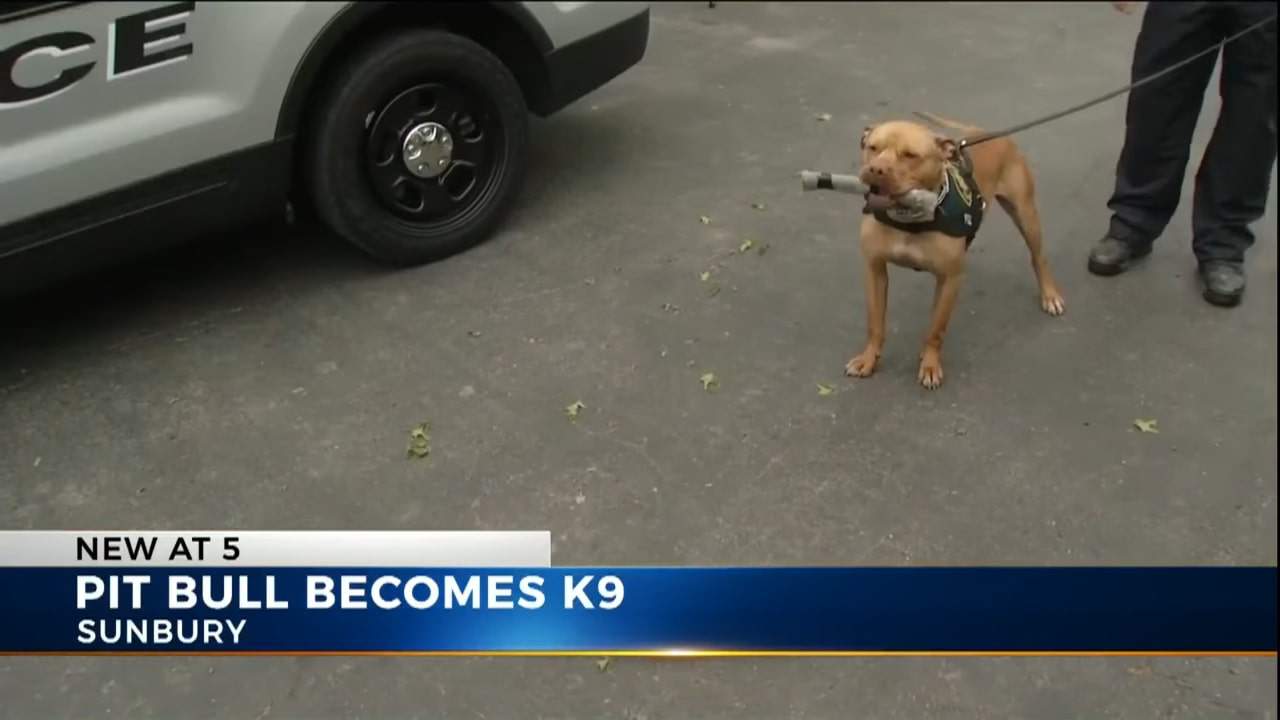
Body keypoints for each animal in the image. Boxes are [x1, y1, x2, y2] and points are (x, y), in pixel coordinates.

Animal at [844, 112, 1064, 389]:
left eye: (910, 155)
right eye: (873, 148)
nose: (876, 169)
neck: (911, 216)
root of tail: (986, 132)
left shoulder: (950, 279)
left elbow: (936, 329)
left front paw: (930, 364)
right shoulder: (875, 269)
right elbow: (875, 323)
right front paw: (868, 359)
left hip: (1025, 214)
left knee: (1038, 257)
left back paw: (1050, 295)